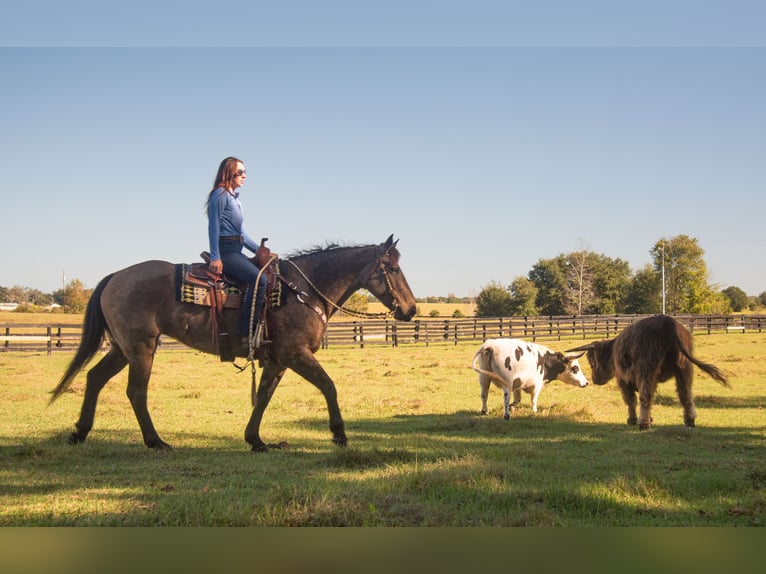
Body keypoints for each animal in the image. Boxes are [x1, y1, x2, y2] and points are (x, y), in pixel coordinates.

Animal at [52, 236, 420, 452]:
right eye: (393, 268)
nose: (411, 309)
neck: (303, 291)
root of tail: (115, 276)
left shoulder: (277, 360)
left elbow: (264, 397)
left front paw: (255, 440)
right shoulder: (295, 354)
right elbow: (329, 386)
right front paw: (339, 434)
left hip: (121, 349)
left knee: (94, 378)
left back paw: (79, 433)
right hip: (141, 348)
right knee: (136, 392)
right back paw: (156, 442)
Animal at [568, 316, 732, 432]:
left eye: (592, 363)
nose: (594, 379)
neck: (613, 351)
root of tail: (668, 322)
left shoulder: (623, 380)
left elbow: (632, 400)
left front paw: (632, 419)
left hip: (646, 369)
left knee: (646, 395)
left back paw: (644, 424)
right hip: (684, 368)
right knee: (685, 394)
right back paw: (689, 421)